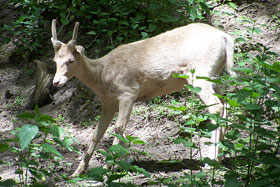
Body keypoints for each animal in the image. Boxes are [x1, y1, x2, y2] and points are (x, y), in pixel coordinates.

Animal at [51, 19, 235, 175]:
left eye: (71, 60)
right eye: (55, 60)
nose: (56, 82)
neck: (102, 76)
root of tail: (225, 37)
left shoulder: (128, 92)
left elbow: (119, 129)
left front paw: (108, 167)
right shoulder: (108, 103)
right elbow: (97, 133)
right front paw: (77, 172)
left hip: (200, 73)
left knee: (217, 106)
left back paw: (210, 163)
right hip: (212, 76)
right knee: (226, 101)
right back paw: (220, 157)